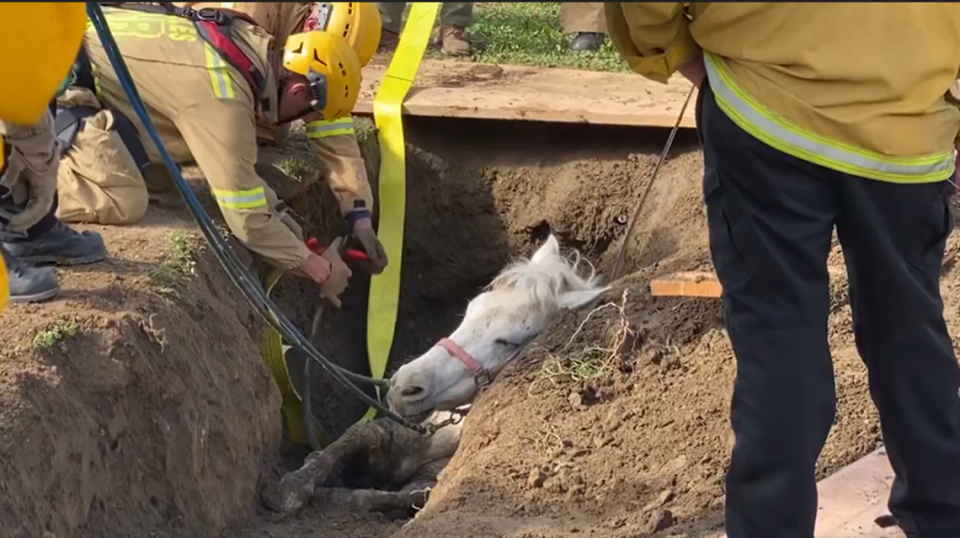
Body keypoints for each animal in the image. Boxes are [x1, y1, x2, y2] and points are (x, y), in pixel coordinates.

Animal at [262, 234, 608, 516]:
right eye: (470, 309)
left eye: (509, 342)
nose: (405, 387)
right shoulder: (395, 432)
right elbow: (359, 434)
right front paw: (293, 485)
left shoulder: (427, 477)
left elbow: (380, 496)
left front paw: (332, 495)